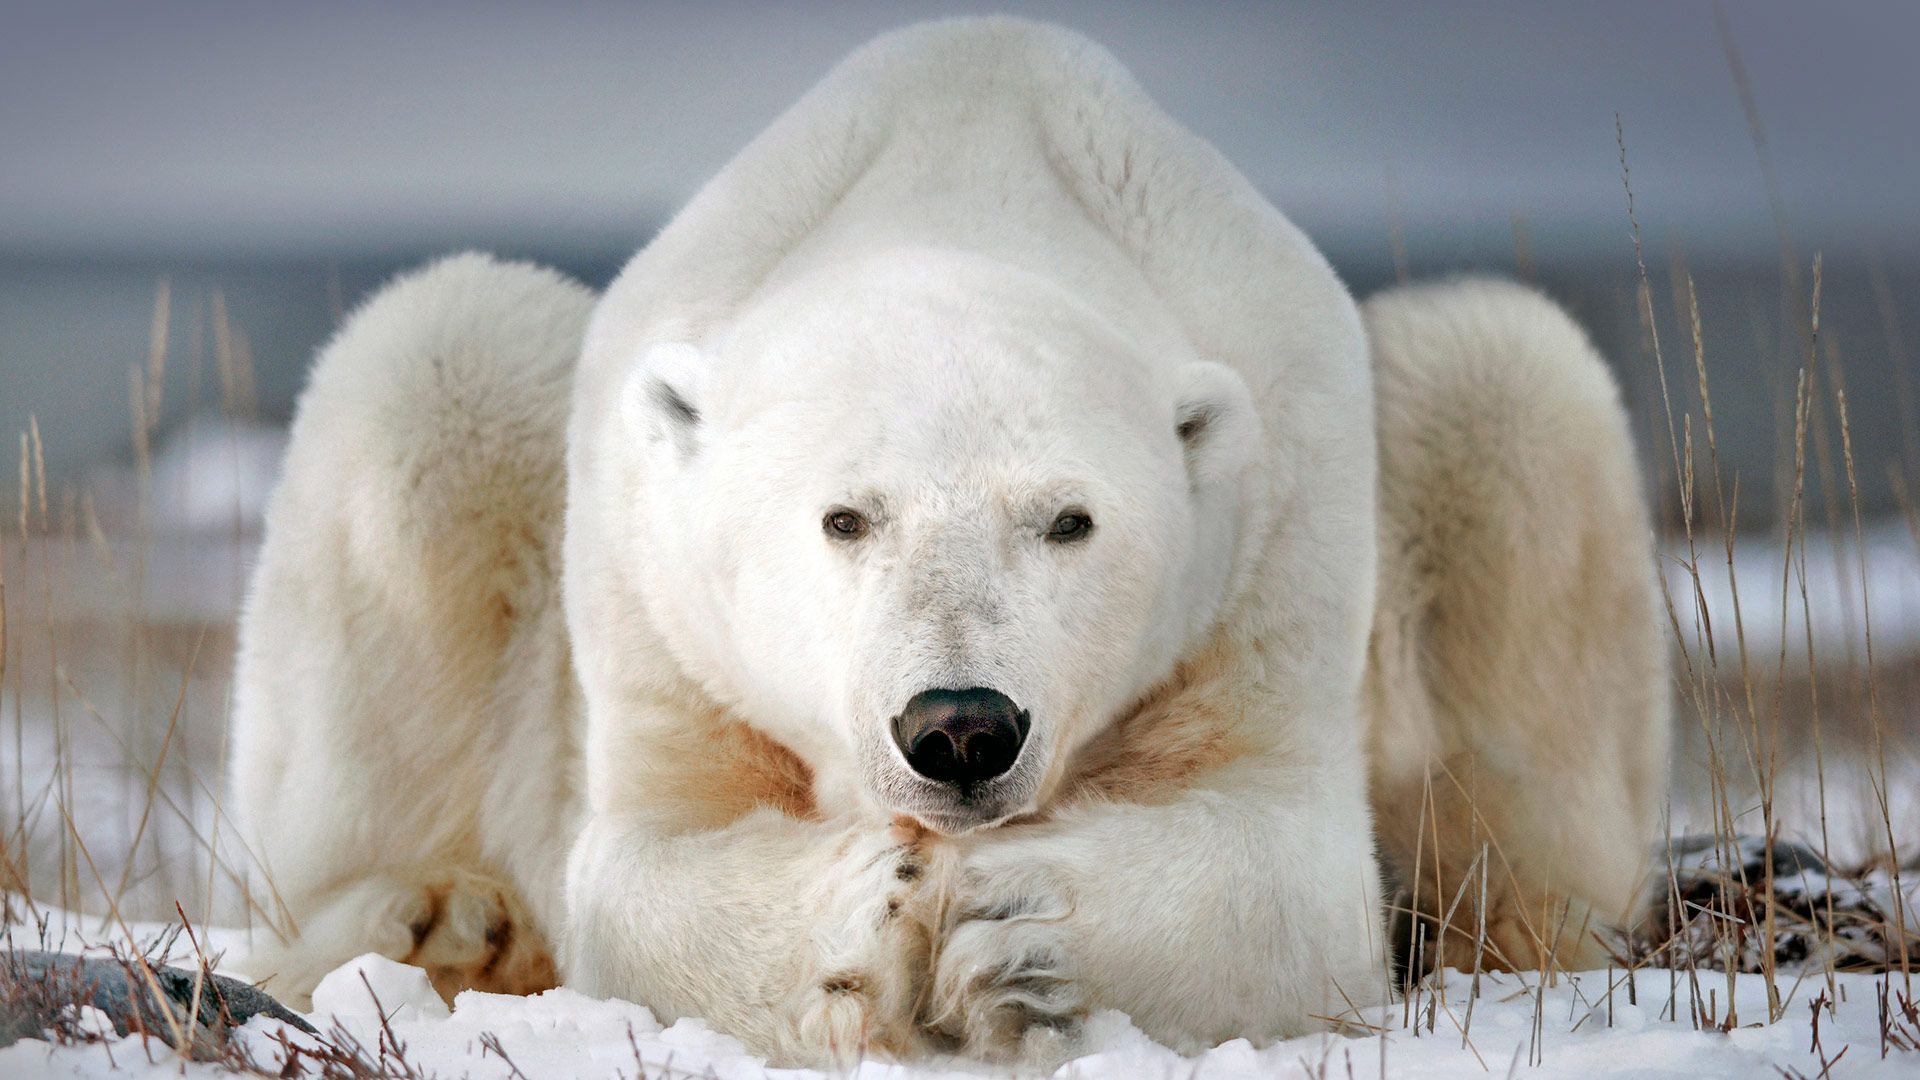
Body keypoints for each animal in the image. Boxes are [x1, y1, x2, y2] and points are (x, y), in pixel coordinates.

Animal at [228, 16, 1667, 1068]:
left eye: (1070, 520)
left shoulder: (1277, 525)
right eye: (844, 516)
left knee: (1507, 390)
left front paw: (1010, 927)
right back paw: (439, 918)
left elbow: (1288, 866)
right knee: (432, 364)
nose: (962, 727)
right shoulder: (656, 595)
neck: (965, 171)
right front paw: (868, 914)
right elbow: (644, 862)